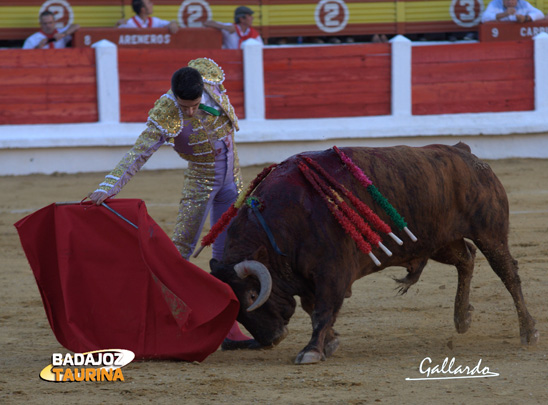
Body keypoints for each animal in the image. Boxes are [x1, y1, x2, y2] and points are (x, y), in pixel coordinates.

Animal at [210, 142, 540, 362]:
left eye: (253, 295)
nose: (271, 340)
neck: (283, 222)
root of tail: (464, 152)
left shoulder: (332, 273)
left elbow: (322, 311)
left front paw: (312, 351)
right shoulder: (308, 279)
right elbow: (314, 309)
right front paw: (330, 343)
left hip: (490, 234)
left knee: (508, 274)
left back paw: (528, 332)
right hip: (438, 241)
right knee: (466, 259)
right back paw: (462, 319)